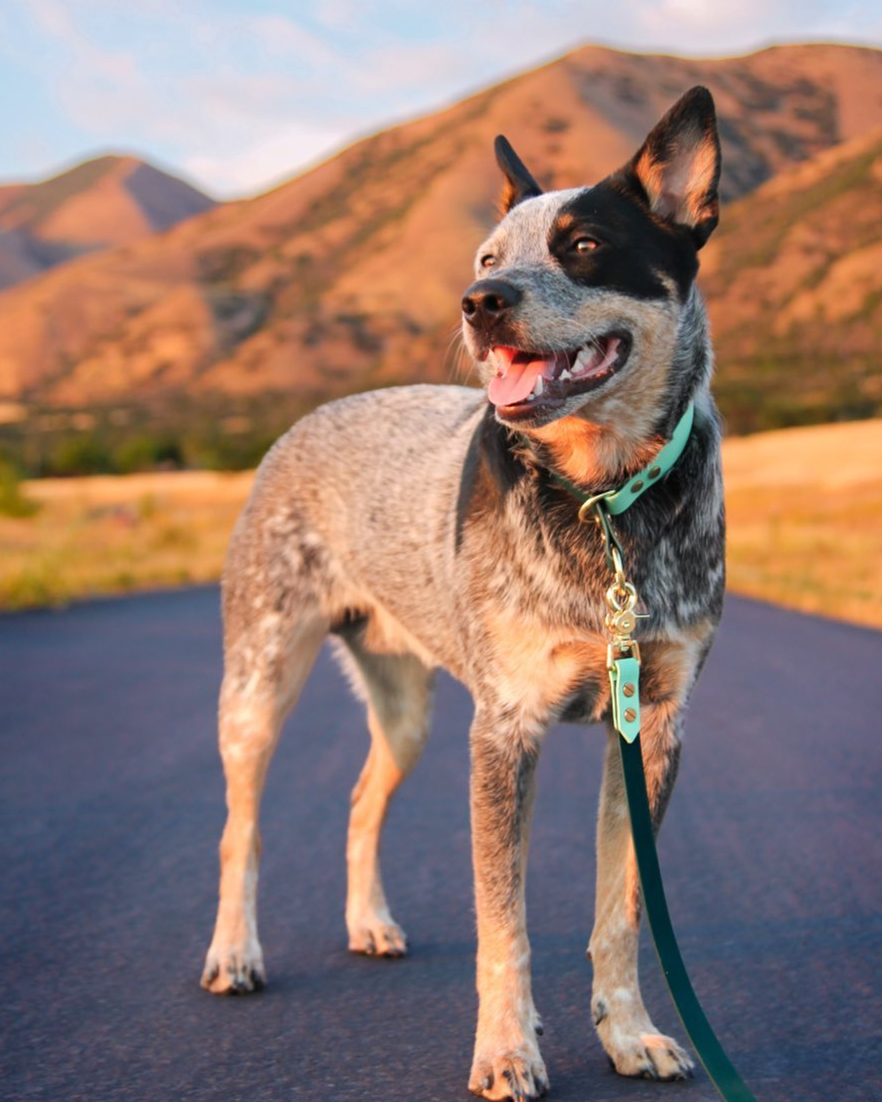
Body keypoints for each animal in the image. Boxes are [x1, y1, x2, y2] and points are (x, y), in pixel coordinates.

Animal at [202, 88, 727, 1102]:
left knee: (362, 799)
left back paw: (369, 922)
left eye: (584, 244)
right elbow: (503, 923)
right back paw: (234, 954)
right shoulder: (506, 728)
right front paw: (507, 1052)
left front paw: (632, 1033)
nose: (480, 304)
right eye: (488, 257)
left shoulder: (654, 723)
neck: (604, 500)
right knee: (239, 830)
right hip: (257, 679)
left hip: (406, 705)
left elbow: (620, 913)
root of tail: (305, 421)